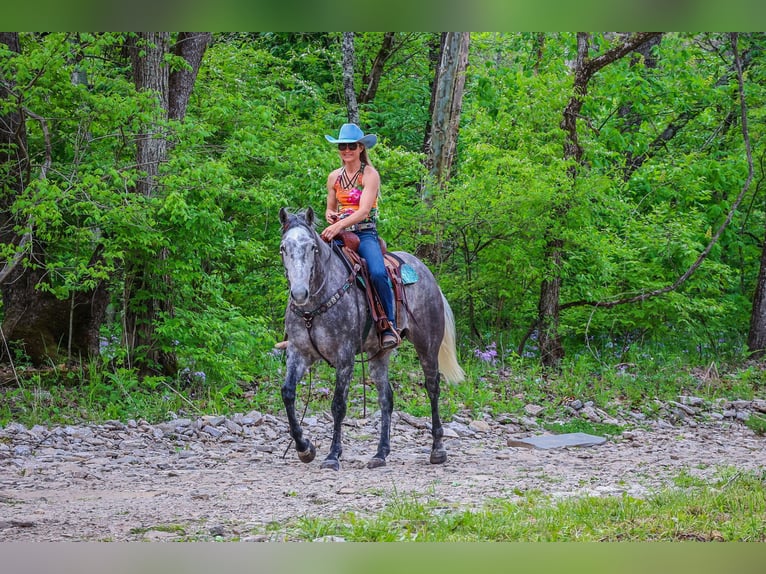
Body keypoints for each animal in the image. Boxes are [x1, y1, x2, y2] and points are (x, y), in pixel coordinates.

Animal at [280, 208, 464, 472]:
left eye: (312, 247)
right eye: (283, 247)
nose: (299, 293)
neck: (313, 306)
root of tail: (428, 274)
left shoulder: (344, 357)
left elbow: (338, 405)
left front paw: (332, 455)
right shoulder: (299, 353)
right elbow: (287, 394)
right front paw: (305, 448)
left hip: (427, 346)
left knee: (432, 388)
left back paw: (437, 450)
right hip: (380, 354)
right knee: (386, 398)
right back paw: (380, 453)